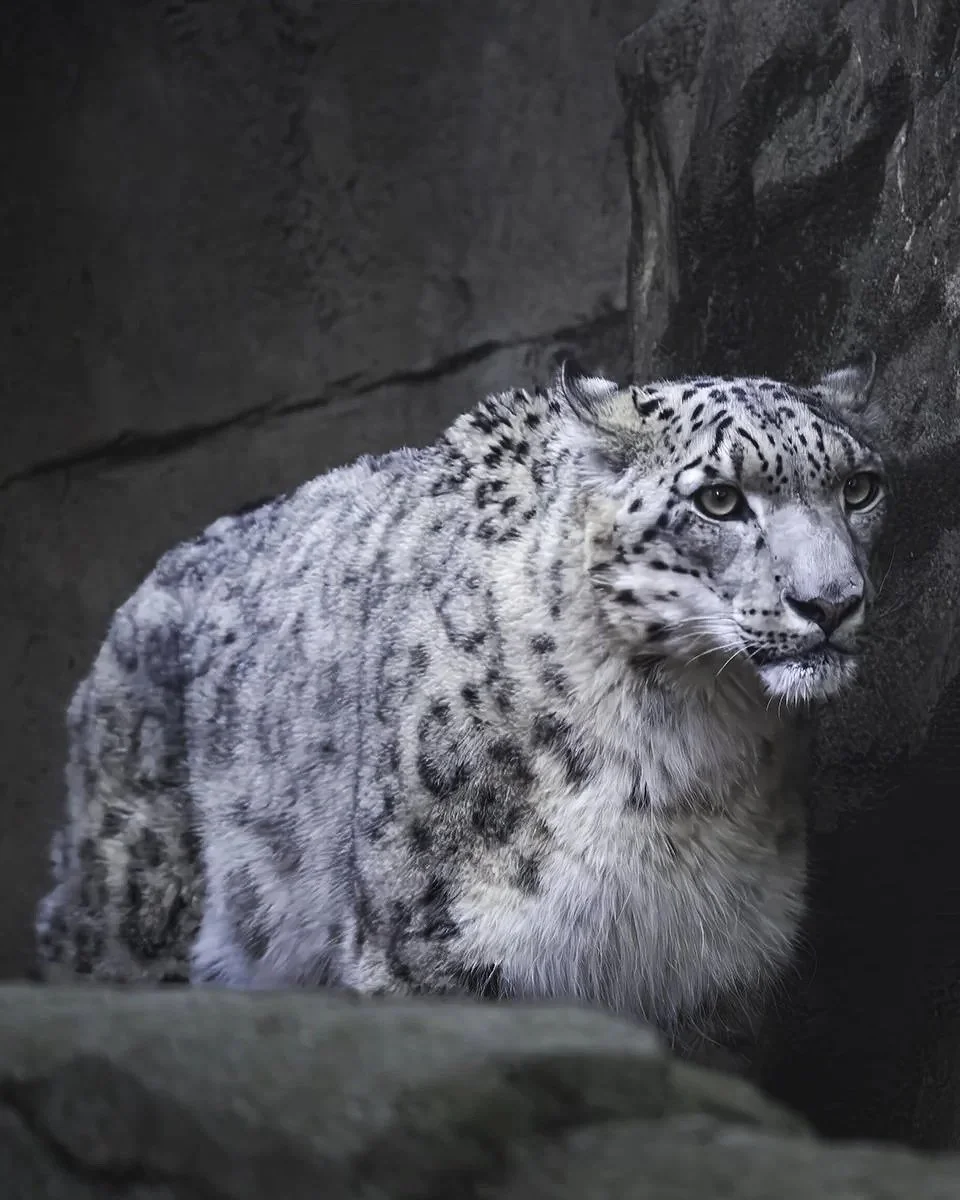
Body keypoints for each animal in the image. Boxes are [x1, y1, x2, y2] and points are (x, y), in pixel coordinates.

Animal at [35, 356, 888, 1061]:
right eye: (719, 499)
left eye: (859, 487)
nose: (832, 603)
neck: (685, 759)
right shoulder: (433, 948)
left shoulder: (715, 976)